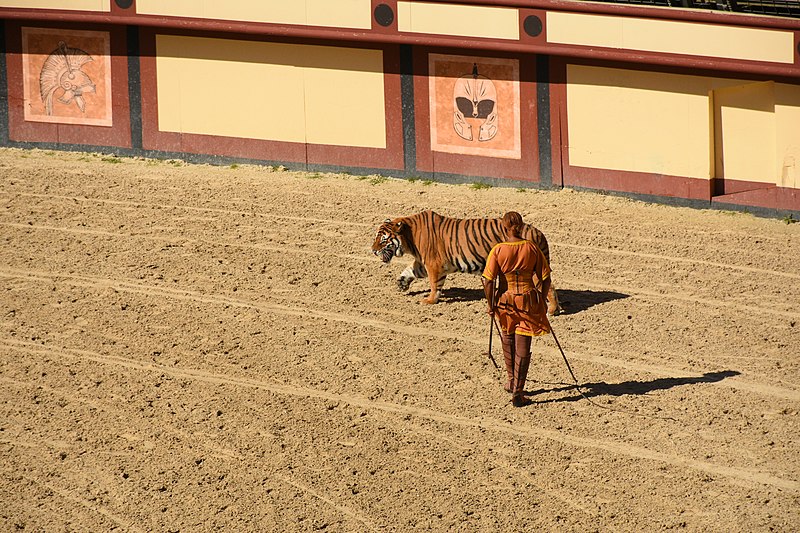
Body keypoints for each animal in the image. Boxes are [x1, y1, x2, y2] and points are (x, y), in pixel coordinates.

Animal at [370, 210, 564, 314]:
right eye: (376, 238)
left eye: (383, 240)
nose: (372, 250)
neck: (409, 237)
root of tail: (538, 231)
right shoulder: (422, 263)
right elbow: (409, 270)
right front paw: (401, 283)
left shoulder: (433, 264)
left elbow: (434, 284)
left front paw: (430, 300)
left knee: (548, 286)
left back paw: (551, 310)